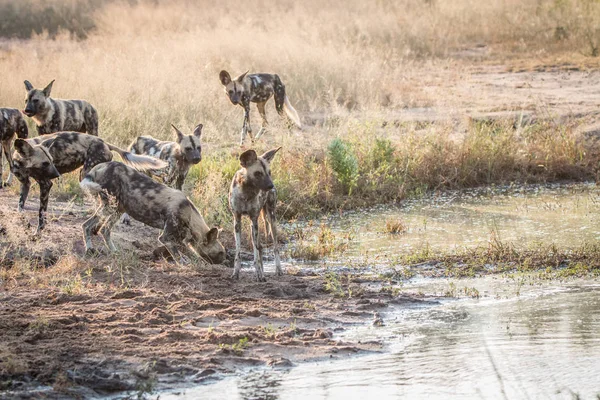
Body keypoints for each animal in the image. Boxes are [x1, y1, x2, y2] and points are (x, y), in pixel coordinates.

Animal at [11, 133, 166, 236]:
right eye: (45, 163)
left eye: (51, 161)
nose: (57, 174)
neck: (24, 165)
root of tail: (105, 143)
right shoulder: (25, 183)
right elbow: (19, 207)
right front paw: (25, 223)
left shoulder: (45, 184)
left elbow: (41, 213)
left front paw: (38, 233)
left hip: (86, 175)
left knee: (100, 204)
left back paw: (94, 228)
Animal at [81, 161, 226, 264]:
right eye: (221, 253)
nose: (224, 262)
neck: (190, 214)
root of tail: (102, 165)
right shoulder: (166, 237)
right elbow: (177, 253)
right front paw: (184, 263)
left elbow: (179, 248)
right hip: (109, 206)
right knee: (86, 225)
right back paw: (89, 250)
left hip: (118, 209)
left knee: (104, 229)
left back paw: (114, 251)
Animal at [231, 147, 284, 282]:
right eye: (258, 173)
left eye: (269, 172)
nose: (271, 186)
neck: (246, 192)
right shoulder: (237, 220)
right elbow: (238, 252)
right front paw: (235, 273)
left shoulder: (254, 219)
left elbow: (255, 254)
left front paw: (259, 274)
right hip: (253, 226)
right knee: (260, 247)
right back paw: (264, 272)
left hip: (270, 219)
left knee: (275, 247)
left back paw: (278, 270)